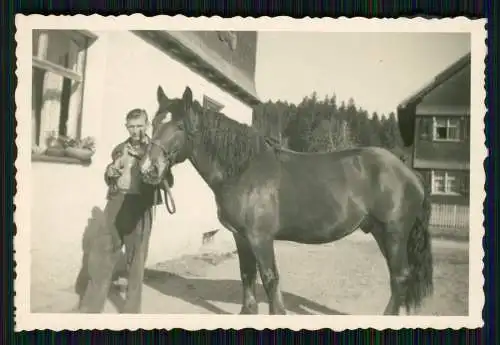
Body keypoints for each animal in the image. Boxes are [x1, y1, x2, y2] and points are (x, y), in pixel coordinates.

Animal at [138, 85, 434, 314]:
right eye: (154, 123)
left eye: (179, 126)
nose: (149, 169)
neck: (244, 170)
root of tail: (409, 173)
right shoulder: (241, 237)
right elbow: (247, 275)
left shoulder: (260, 237)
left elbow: (270, 278)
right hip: (381, 233)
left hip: (394, 233)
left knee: (400, 277)